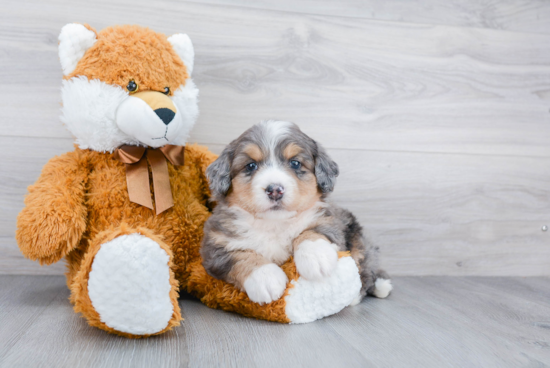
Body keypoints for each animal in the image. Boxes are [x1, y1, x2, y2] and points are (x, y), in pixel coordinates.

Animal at [202, 121, 392, 304]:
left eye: (295, 163)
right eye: (250, 165)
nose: (275, 190)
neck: (274, 224)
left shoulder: (330, 221)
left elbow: (311, 232)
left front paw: (316, 257)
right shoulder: (215, 244)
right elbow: (240, 256)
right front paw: (265, 278)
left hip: (358, 237)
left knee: (365, 268)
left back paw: (372, 289)